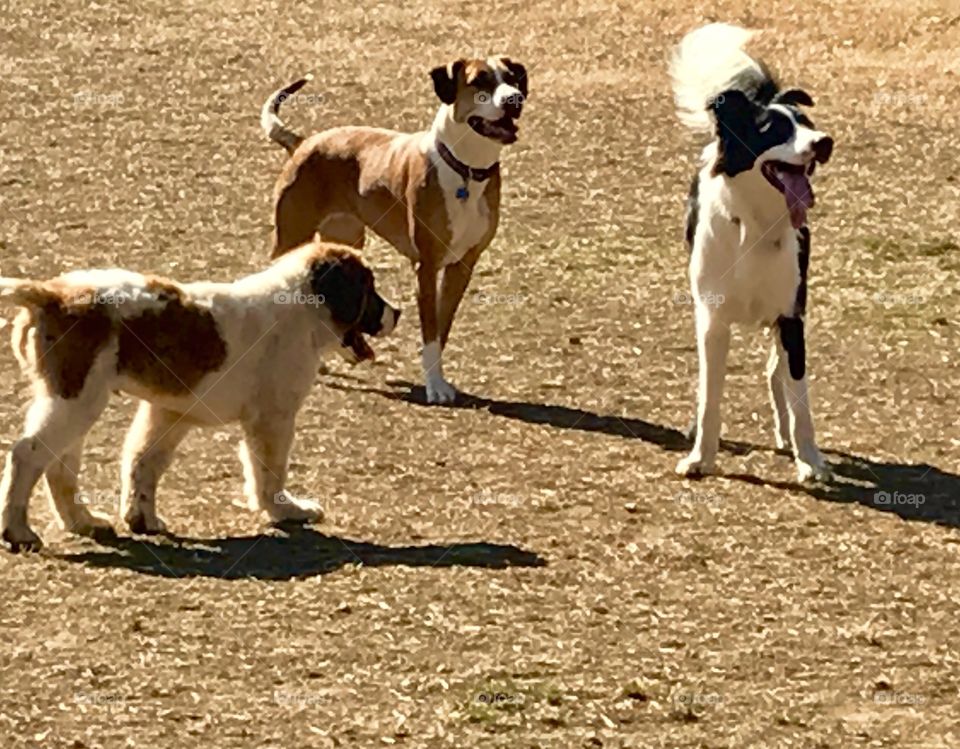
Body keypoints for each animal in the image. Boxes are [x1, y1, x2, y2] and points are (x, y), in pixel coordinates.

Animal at [0, 241, 400, 548]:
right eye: (369, 289)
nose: (397, 313)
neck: (302, 307)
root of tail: (53, 293)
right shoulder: (273, 418)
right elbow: (269, 471)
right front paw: (285, 510)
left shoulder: (168, 413)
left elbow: (142, 461)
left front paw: (141, 517)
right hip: (76, 399)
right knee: (28, 454)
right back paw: (18, 530)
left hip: (75, 400)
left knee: (58, 463)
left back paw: (82, 520)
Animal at [260, 56, 524, 404]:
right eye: (479, 80)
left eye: (513, 79)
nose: (514, 100)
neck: (464, 171)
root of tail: (304, 143)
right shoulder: (426, 267)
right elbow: (430, 330)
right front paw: (434, 387)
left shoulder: (462, 267)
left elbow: (442, 328)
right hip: (291, 235)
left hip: (345, 237)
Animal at [672, 23, 836, 482]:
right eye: (773, 130)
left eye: (808, 124)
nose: (824, 142)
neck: (757, 226)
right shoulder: (712, 320)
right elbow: (709, 396)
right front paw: (700, 456)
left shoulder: (791, 315)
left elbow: (800, 399)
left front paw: (810, 460)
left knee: (776, 371)